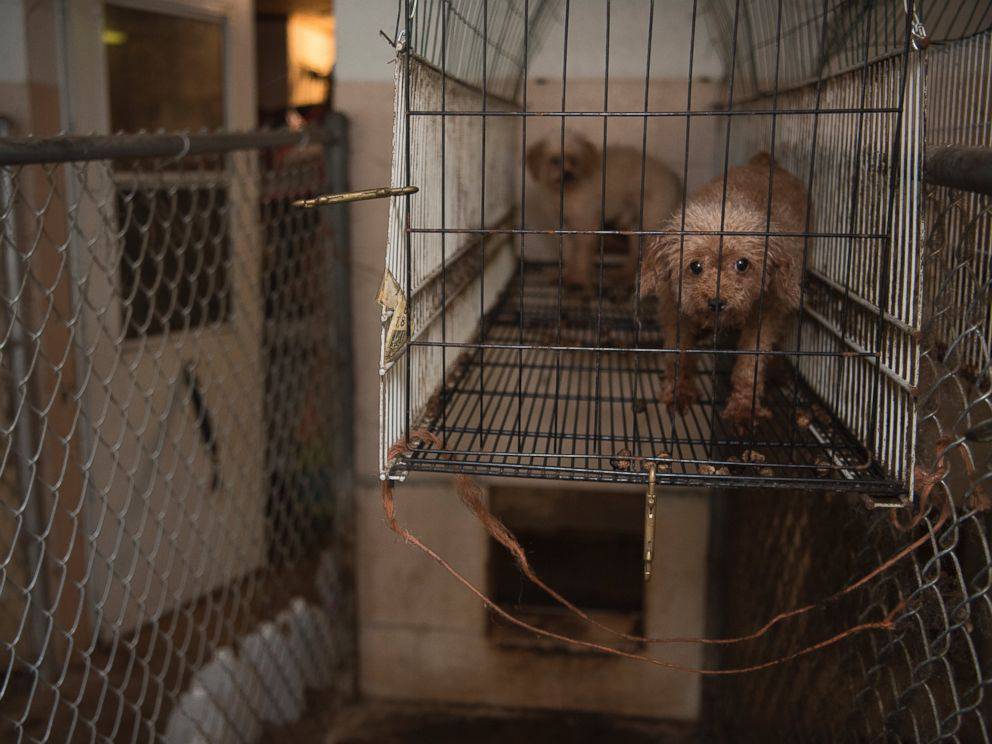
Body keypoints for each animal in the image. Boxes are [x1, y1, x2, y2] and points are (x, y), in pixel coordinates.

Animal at [526, 131, 681, 292]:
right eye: (555, 161)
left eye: (574, 160)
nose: (568, 174)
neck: (566, 192)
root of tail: (673, 177)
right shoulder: (564, 227)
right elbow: (569, 255)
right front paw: (566, 276)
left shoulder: (586, 225)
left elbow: (582, 256)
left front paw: (580, 280)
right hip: (634, 223)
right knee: (634, 252)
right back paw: (624, 274)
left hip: (652, 222)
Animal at [640, 153, 808, 430]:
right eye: (695, 266)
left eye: (742, 264)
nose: (716, 302)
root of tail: (764, 161)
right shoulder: (674, 310)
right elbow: (679, 355)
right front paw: (678, 392)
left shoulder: (766, 313)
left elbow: (750, 365)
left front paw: (743, 407)